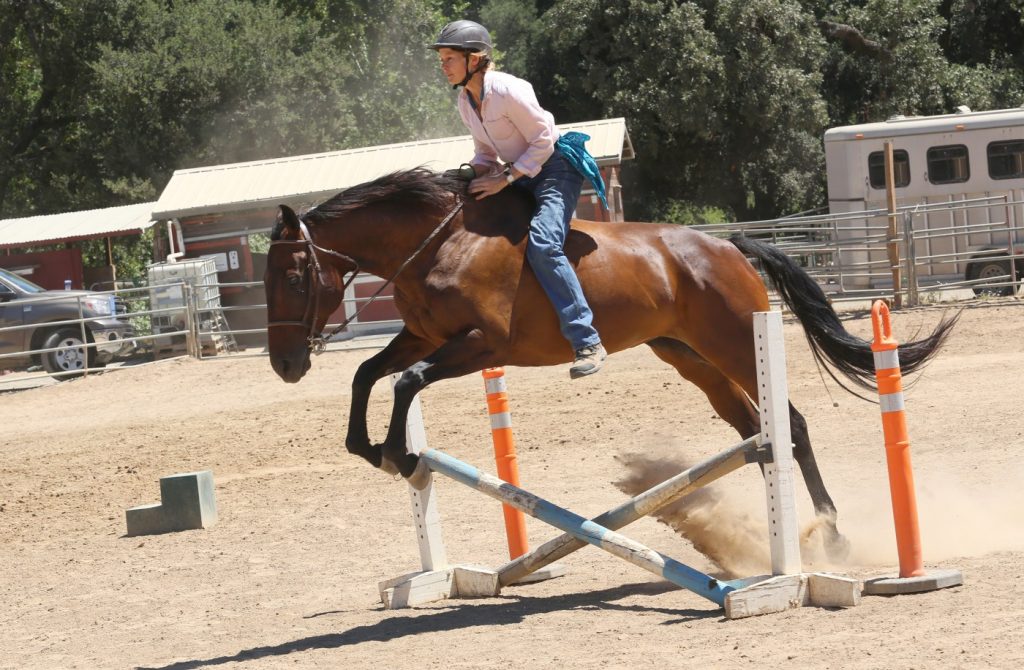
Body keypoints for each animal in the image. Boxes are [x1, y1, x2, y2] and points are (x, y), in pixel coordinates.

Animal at [266, 171, 958, 557]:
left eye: (295, 277)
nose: (285, 365)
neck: (441, 243)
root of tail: (728, 247)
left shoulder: (481, 344)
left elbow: (405, 382)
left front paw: (398, 453)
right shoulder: (422, 336)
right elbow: (368, 374)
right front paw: (367, 447)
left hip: (737, 341)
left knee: (792, 425)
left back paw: (831, 535)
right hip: (692, 360)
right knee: (753, 431)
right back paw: (774, 536)